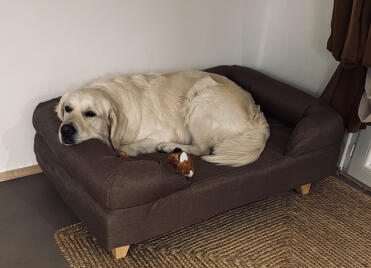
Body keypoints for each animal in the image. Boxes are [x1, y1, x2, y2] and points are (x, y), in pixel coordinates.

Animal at [56, 70, 270, 166]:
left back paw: (168, 147)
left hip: (200, 99)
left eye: (90, 113)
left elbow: (126, 146)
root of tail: (257, 116)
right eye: (68, 108)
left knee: (202, 149)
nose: (65, 130)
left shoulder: (163, 131)